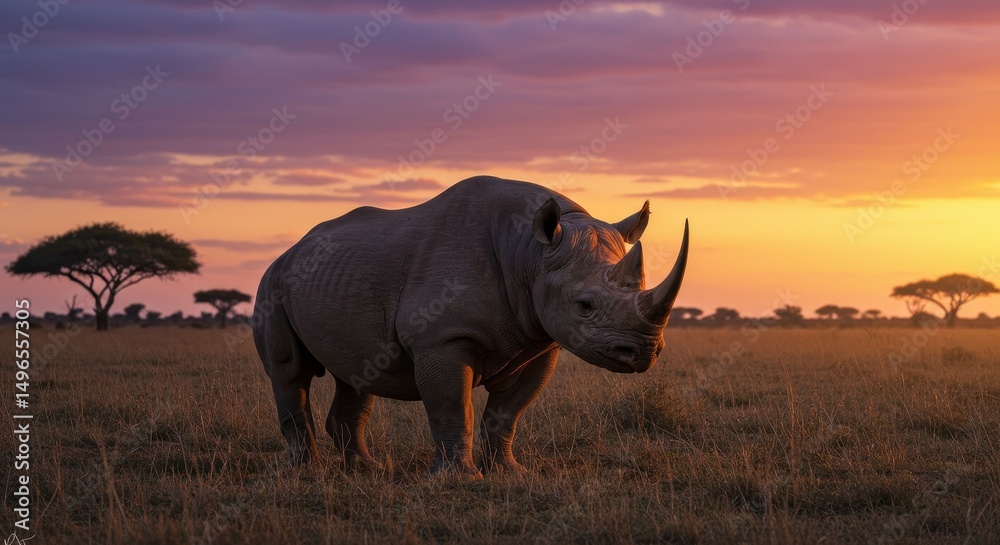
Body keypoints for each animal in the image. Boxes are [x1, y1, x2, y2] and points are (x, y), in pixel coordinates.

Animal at [253, 175, 688, 477]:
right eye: (584, 306)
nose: (644, 352)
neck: (529, 252)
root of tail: (292, 249)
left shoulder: (541, 342)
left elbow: (507, 413)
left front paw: (510, 472)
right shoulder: (442, 338)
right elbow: (452, 407)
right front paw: (460, 480)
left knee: (357, 374)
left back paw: (368, 470)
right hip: (271, 281)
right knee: (290, 372)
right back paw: (309, 473)